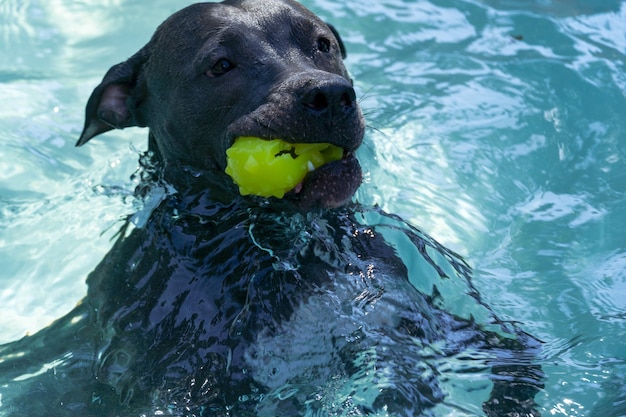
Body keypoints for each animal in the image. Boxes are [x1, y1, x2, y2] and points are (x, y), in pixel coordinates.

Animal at [0, 0, 540, 416]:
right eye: (220, 65)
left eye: (323, 43)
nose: (330, 94)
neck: (283, 255)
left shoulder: (426, 318)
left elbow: (513, 360)